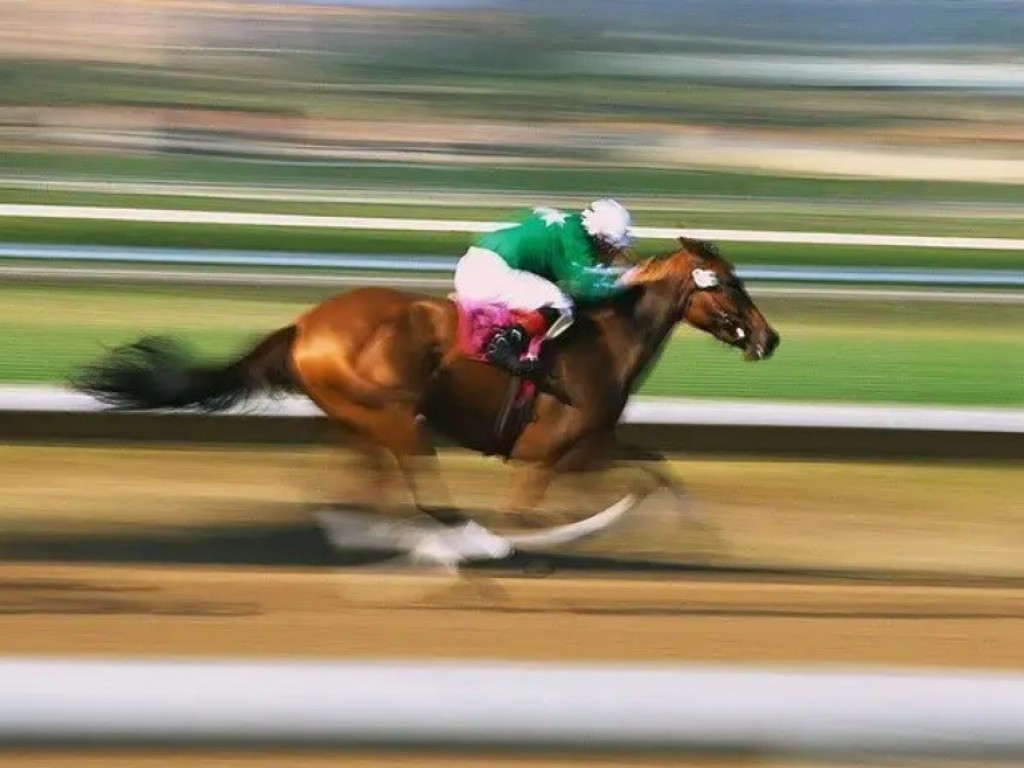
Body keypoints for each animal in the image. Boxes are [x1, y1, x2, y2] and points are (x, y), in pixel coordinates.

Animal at [70, 237, 774, 569]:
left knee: (352, 487)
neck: (604, 339)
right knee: (426, 498)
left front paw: (705, 537)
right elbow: (531, 512)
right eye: (729, 284)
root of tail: (303, 325)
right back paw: (452, 545)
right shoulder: (552, 453)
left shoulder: (595, 443)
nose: (769, 339)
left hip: (360, 421)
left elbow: (660, 468)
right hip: (396, 418)